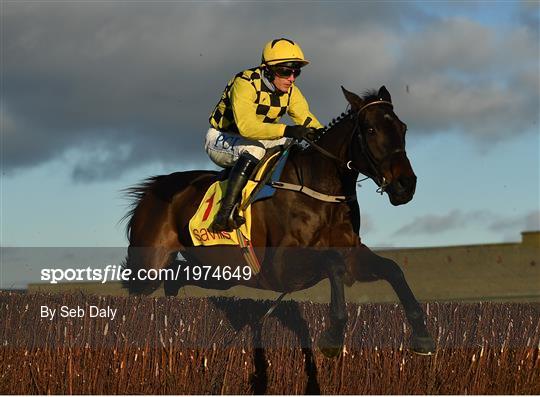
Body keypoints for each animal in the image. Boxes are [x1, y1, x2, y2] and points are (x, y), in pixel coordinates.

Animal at [121, 86, 434, 356]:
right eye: (370, 129)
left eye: (403, 128)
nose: (406, 185)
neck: (319, 190)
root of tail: (153, 187)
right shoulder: (281, 267)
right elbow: (332, 262)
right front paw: (333, 334)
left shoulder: (352, 254)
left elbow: (392, 269)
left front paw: (422, 334)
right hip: (150, 263)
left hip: (218, 273)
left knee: (176, 276)